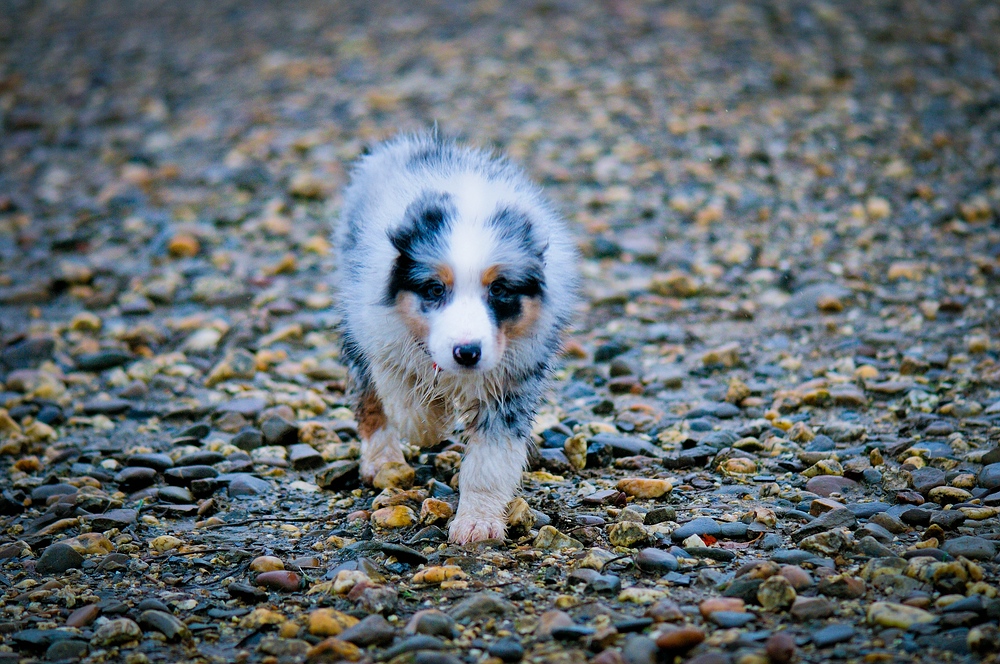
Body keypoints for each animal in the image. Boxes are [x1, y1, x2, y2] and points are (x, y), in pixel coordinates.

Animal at [334, 132, 580, 544]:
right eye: (435, 289)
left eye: (499, 290)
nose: (467, 352)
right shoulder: (377, 328)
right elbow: (401, 390)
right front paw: (429, 423)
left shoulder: (514, 380)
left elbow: (490, 460)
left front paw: (477, 523)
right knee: (369, 398)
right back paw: (382, 459)